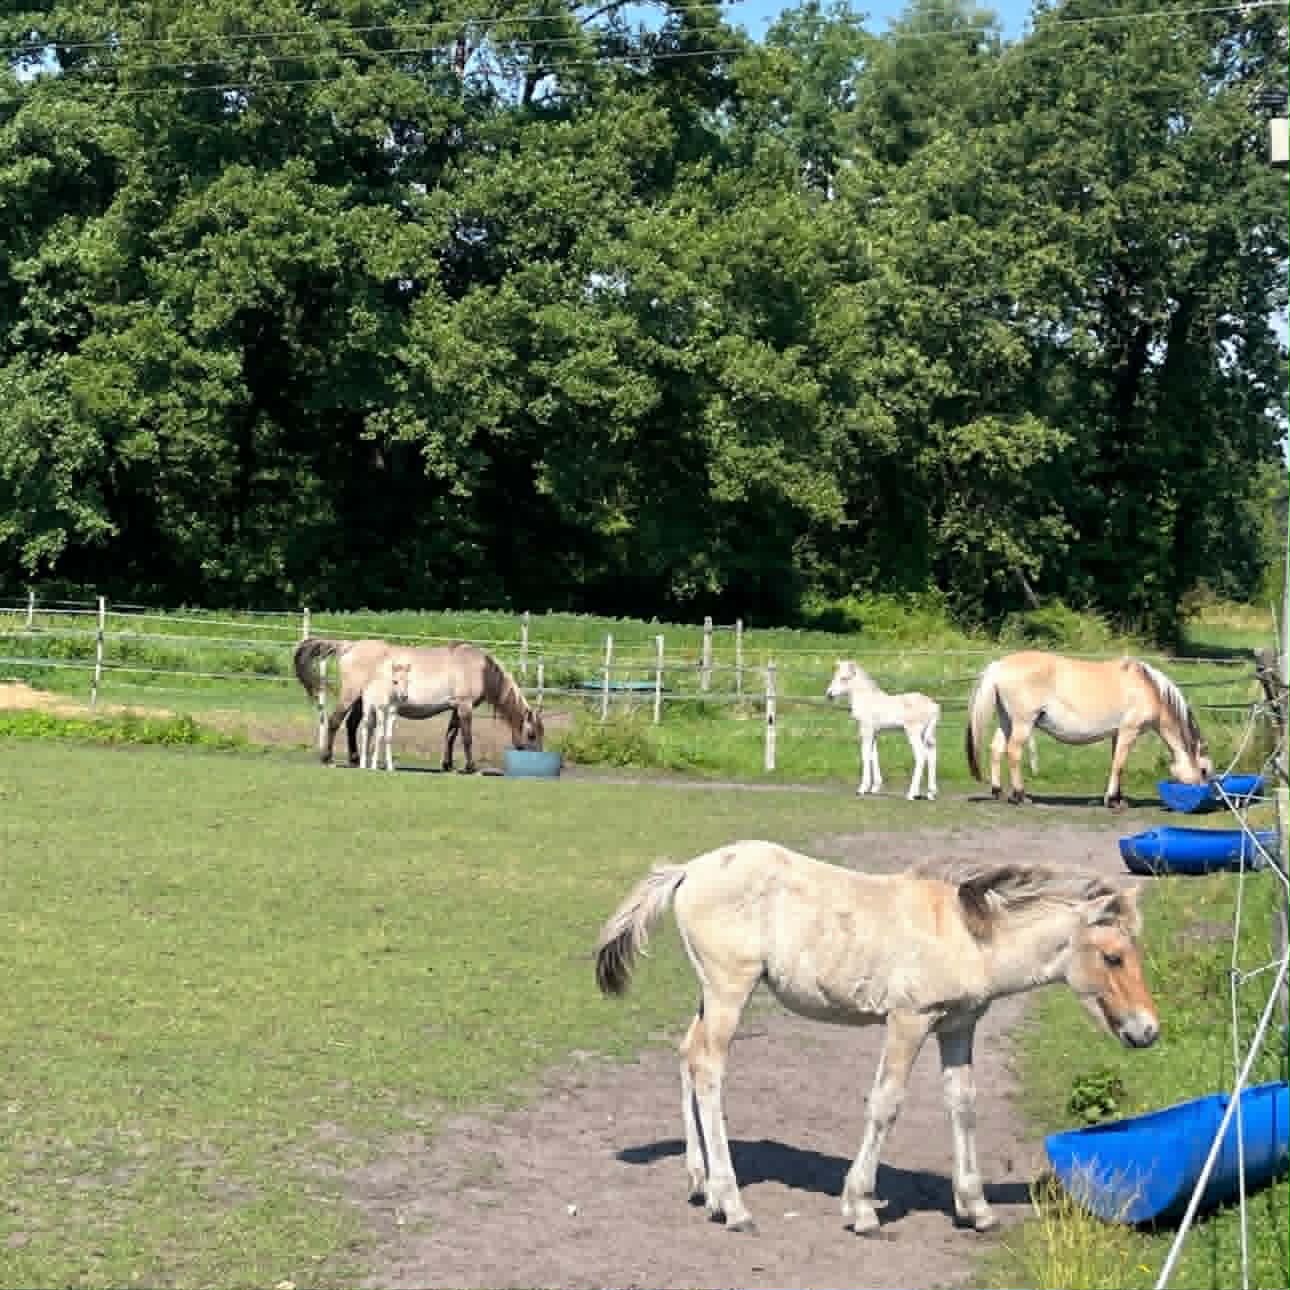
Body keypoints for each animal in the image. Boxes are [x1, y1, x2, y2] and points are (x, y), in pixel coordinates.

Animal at [293, 638, 544, 771]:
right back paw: (327, 758)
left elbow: (450, 735)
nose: (539, 756)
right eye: (532, 735)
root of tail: (349, 646)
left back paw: (355, 759)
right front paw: (470, 767)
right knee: (335, 721)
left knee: (352, 725)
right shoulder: (465, 707)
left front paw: (448, 765)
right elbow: (467, 738)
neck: (479, 668)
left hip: (363, 701)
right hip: (350, 695)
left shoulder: (455, 708)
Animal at [595, 840, 1156, 1239]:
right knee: (709, 1069)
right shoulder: (908, 1020)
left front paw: (975, 1208)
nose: (1148, 1030)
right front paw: (861, 1207)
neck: (967, 937)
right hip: (730, 989)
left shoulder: (958, 1026)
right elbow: (886, 1103)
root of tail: (690, 869)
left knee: (688, 1055)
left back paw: (703, 1186)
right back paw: (734, 1206)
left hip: (711, 994)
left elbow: (963, 1104)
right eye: (1112, 957)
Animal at [825, 660, 940, 800]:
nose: (829, 695)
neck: (867, 699)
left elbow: (865, 754)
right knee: (932, 754)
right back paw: (931, 792)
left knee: (921, 755)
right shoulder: (875, 732)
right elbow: (873, 755)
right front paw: (875, 787)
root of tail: (934, 706)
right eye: (835, 676)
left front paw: (862, 788)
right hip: (927, 734)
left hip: (913, 733)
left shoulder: (866, 729)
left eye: (844, 678)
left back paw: (912, 793)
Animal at [964, 650, 1211, 808]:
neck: (1148, 687)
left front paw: (1118, 798)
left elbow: (1116, 763)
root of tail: (998, 666)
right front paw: (1112, 801)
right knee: (1013, 752)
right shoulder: (1129, 731)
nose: (1204, 795)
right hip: (1023, 723)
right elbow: (1119, 764)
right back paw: (1020, 796)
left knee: (997, 749)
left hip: (1007, 721)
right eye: (1204, 771)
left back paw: (998, 792)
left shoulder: (1117, 734)